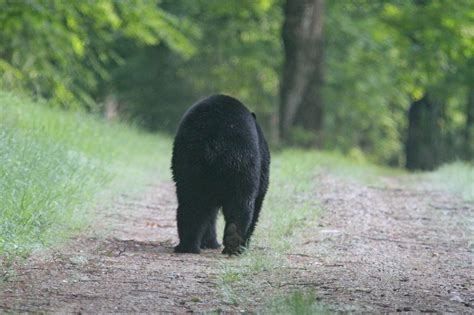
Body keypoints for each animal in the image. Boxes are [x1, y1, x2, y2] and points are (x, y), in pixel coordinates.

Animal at [171, 95, 270, 256]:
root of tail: (214, 140)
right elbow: (258, 201)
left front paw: (209, 243)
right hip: (242, 162)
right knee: (242, 203)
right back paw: (234, 244)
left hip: (189, 162)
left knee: (191, 202)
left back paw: (188, 246)